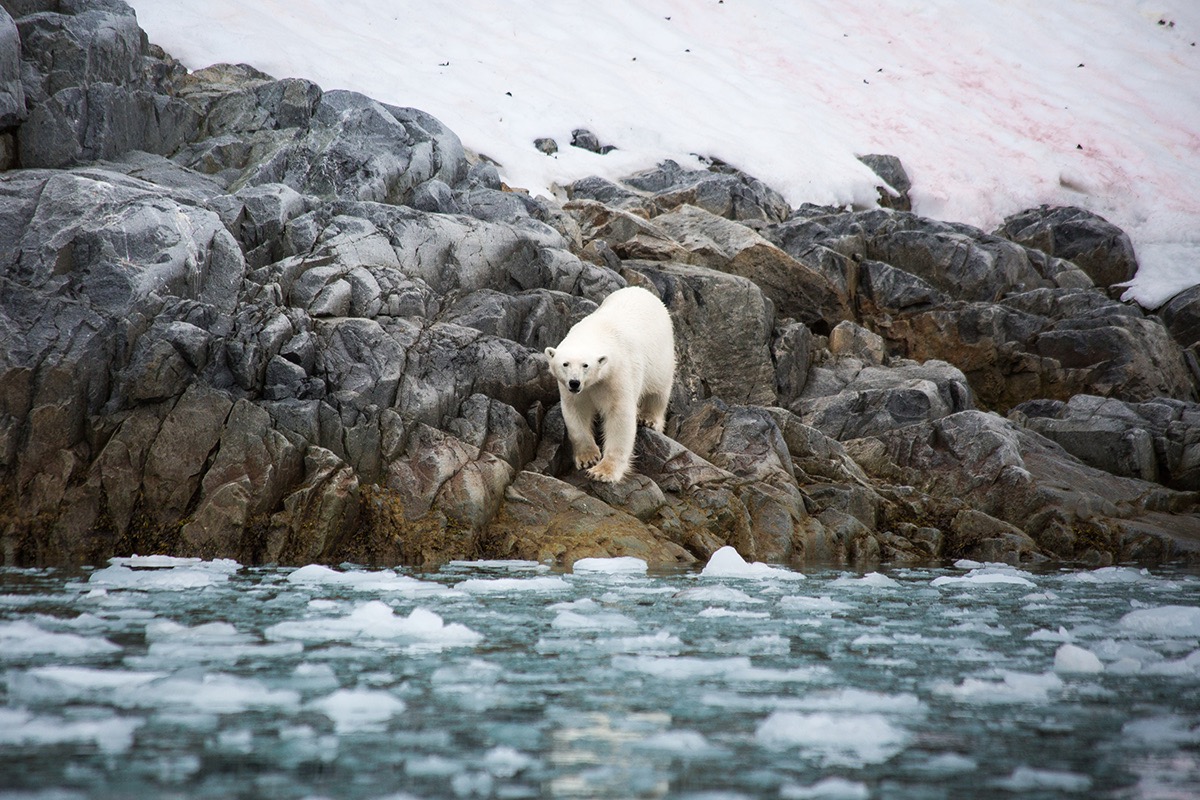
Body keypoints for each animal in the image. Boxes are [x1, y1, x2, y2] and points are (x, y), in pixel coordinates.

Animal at [544, 287, 676, 482]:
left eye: (586, 365)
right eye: (565, 364)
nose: (574, 383)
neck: (598, 331)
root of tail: (644, 291)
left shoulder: (618, 374)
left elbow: (619, 415)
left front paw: (602, 471)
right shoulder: (572, 389)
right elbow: (576, 410)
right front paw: (588, 458)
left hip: (661, 356)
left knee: (659, 390)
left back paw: (649, 418)